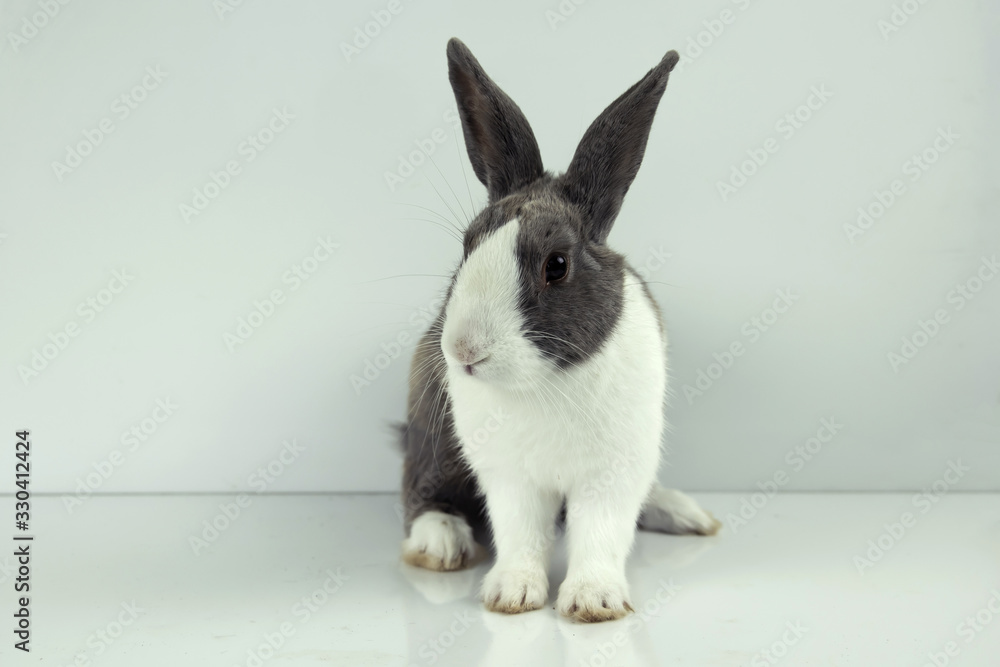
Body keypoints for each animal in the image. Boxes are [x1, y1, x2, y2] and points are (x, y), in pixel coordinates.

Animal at [399, 37, 720, 623]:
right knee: (420, 490)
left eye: (556, 266)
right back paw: (440, 541)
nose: (463, 349)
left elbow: (601, 534)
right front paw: (512, 595)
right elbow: (520, 533)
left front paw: (593, 602)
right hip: (430, 432)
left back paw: (685, 514)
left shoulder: (612, 475)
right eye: (467, 245)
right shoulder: (510, 478)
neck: (540, 384)